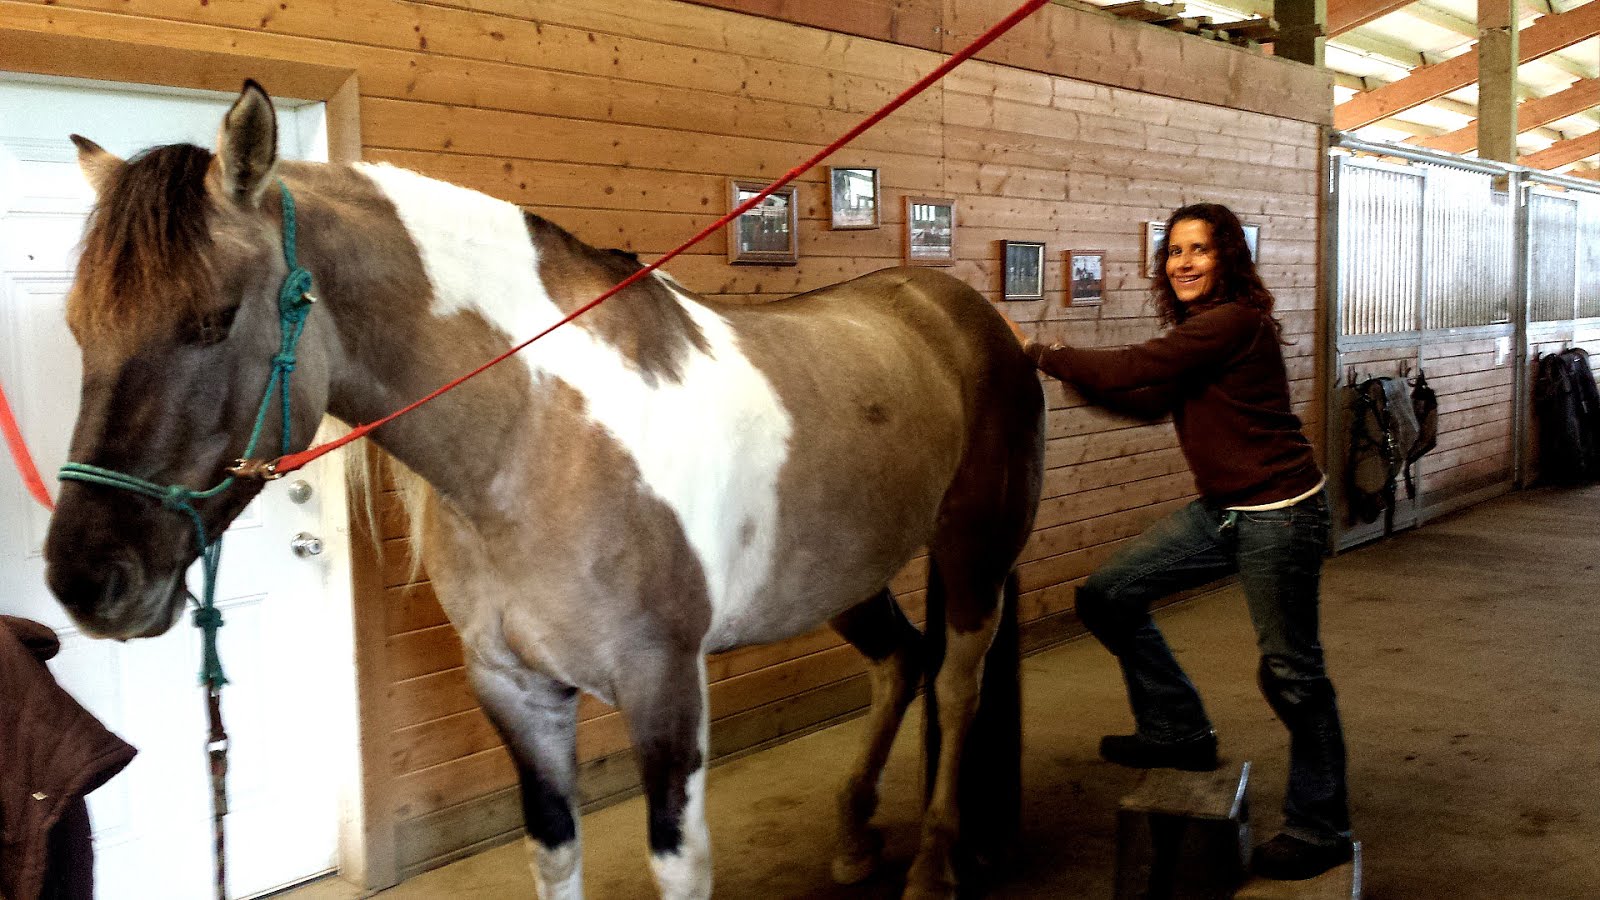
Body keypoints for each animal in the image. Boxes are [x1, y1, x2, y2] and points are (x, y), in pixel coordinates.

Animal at [43, 81, 1045, 900]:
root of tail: (962, 313)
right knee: (900, 663)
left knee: (956, 681)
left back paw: (935, 863)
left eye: (212, 321)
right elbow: (553, 851)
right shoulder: (516, 690)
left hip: (972, 554)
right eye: (77, 325)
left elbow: (678, 864)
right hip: (844, 575)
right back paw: (853, 837)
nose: (85, 581)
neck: (536, 442)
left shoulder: (663, 688)